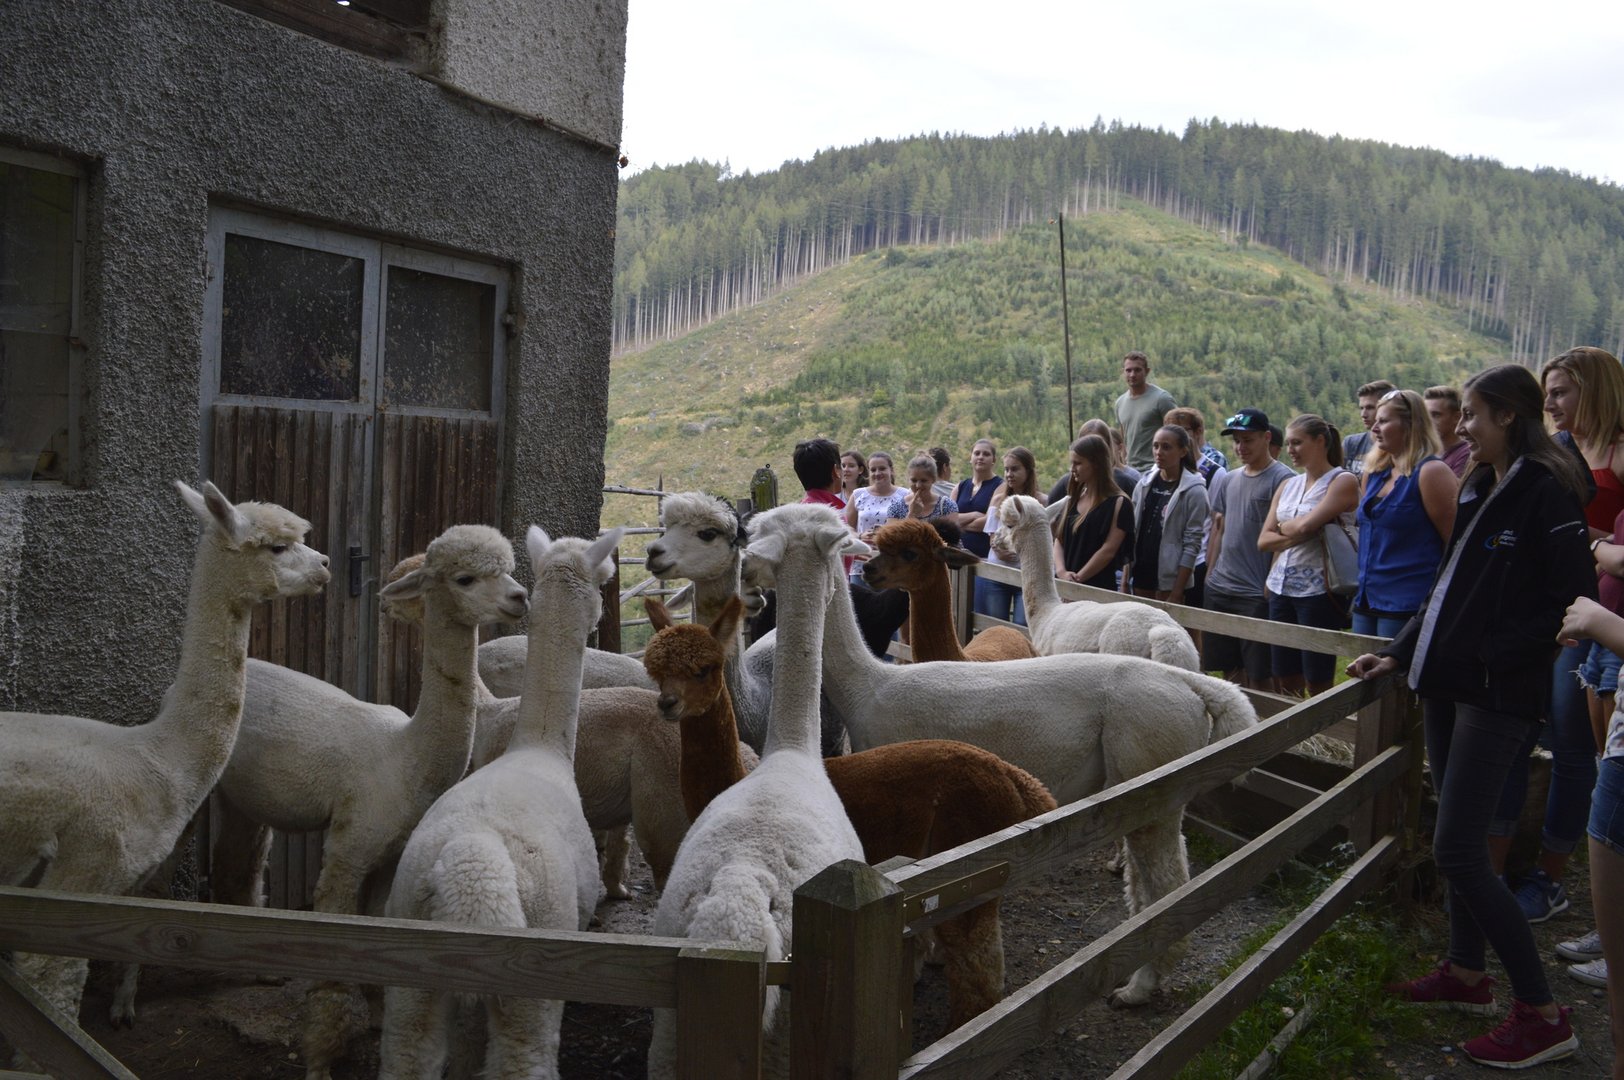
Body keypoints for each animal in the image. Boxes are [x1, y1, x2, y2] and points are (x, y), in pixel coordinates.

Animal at [200, 525, 527, 1079]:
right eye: (465, 577)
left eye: (507, 569)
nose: (521, 597)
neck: (406, 758)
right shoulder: (349, 851)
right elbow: (337, 952)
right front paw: (320, 1058)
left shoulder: (389, 856)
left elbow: (377, 933)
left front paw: (376, 1013)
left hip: (247, 800)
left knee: (238, 865)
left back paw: (253, 970)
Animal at [378, 525, 624, 1079]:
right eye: (606, 578)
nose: (518, 598)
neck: (541, 747)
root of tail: (474, 864)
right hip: (532, 970)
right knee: (523, 1057)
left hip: (412, 965)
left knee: (407, 1052)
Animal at [646, 505, 866, 1078]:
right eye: (842, 543)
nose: (760, 598)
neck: (791, 749)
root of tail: (735, 902)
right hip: (793, 1026)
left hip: (668, 1017)